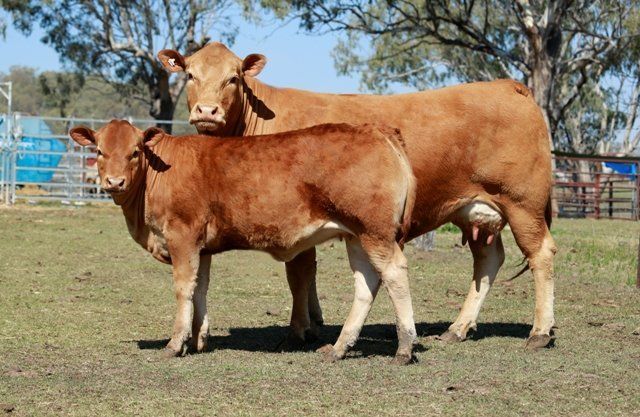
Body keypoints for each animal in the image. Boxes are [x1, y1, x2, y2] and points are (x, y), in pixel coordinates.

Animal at [69, 120, 418, 363]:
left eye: (135, 151)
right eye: (99, 151)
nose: (114, 182)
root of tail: (376, 130)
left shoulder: (182, 235)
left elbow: (183, 288)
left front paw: (175, 343)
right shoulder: (202, 247)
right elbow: (200, 287)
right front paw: (199, 339)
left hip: (375, 232)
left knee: (395, 274)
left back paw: (403, 347)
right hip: (356, 235)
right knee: (366, 284)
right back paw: (339, 348)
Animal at [157, 43, 557, 350]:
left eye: (234, 77)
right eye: (190, 75)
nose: (207, 111)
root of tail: (509, 86)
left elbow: (298, 272)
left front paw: (300, 329)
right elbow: (305, 272)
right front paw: (315, 320)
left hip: (523, 204)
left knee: (540, 254)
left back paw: (539, 332)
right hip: (475, 211)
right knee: (488, 261)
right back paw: (457, 329)